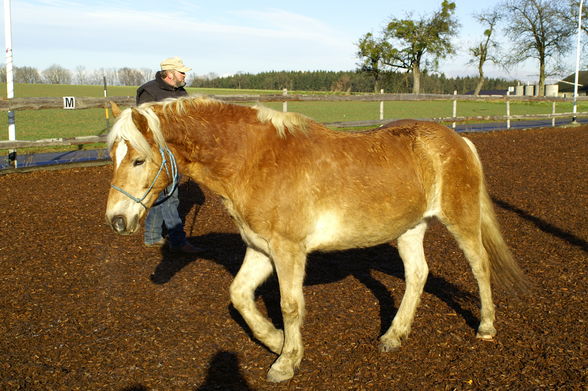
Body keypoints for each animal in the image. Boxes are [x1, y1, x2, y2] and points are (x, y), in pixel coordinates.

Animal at [103, 97, 532, 382]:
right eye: (112, 157)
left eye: (138, 159)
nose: (117, 220)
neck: (254, 160)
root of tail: (459, 141)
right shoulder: (260, 248)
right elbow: (239, 296)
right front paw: (274, 340)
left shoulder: (288, 250)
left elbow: (290, 305)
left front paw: (286, 361)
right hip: (410, 228)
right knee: (417, 275)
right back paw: (394, 335)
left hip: (461, 220)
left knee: (479, 266)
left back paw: (486, 327)